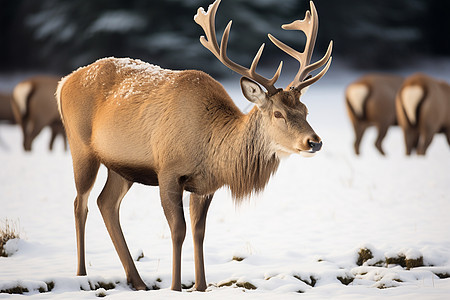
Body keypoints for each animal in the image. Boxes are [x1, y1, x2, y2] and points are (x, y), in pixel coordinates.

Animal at [55, 0, 330, 290]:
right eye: (278, 113)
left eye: (305, 110)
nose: (314, 142)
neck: (211, 150)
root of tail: (63, 82)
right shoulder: (168, 171)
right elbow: (178, 230)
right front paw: (175, 287)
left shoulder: (205, 185)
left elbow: (199, 232)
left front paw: (200, 286)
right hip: (80, 146)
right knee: (80, 203)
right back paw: (81, 273)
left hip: (121, 167)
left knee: (106, 203)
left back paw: (137, 281)